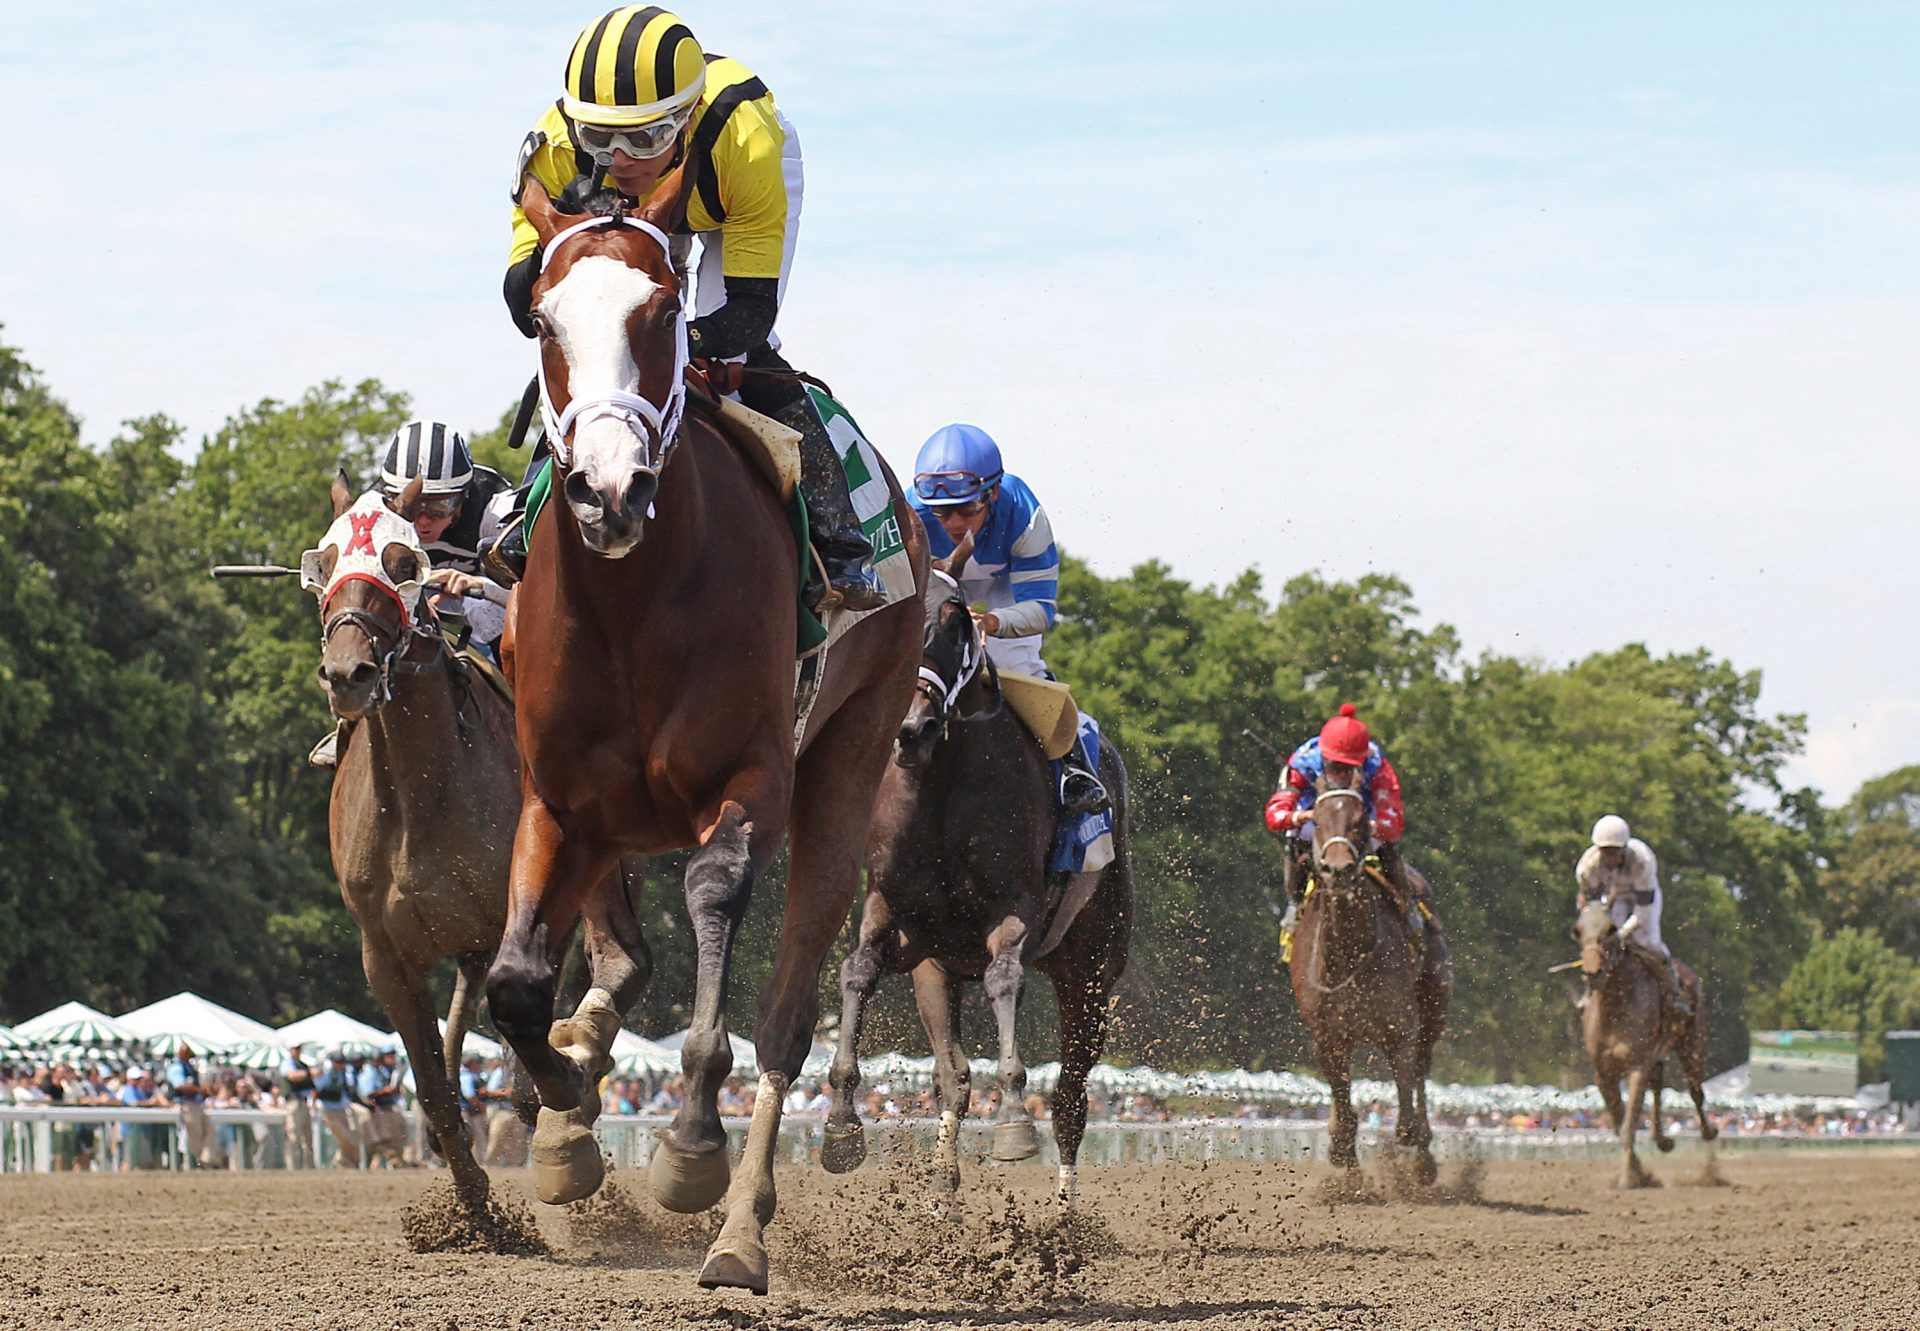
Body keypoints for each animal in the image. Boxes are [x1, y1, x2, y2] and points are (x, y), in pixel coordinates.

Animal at [483, 166, 925, 1290]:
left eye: (663, 312)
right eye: (542, 318)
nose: (610, 489)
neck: (634, 600)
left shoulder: (752, 776)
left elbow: (717, 901)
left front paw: (687, 1141)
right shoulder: (558, 798)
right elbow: (515, 983)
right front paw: (562, 1103)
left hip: (848, 767)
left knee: (787, 1016)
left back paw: (739, 1232)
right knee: (614, 965)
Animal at [821, 568, 1121, 1206]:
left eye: (957, 628)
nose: (912, 730)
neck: (942, 783)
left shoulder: (1014, 911)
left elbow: (1004, 978)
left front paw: (1011, 1117)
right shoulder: (895, 915)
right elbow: (857, 970)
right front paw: (840, 1124)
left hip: (1091, 968)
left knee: (1071, 1097)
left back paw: (1067, 1212)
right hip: (938, 971)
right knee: (951, 1077)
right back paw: (945, 1192)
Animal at [1290, 768, 1451, 1183]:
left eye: (1360, 821)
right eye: (1317, 820)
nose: (1338, 869)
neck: (1349, 954)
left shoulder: (1399, 1031)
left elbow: (1407, 1114)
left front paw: (1414, 1159)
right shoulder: (1328, 1039)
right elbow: (1345, 1114)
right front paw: (1345, 1168)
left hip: (1434, 1007)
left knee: (1422, 1068)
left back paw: (1424, 1157)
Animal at [1574, 891, 1712, 1183]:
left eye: (1610, 929)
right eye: (1577, 931)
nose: (1592, 971)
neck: (1616, 1006)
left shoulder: (1637, 1064)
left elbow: (1628, 1125)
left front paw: (1630, 1177)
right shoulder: (1603, 1073)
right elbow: (1619, 1122)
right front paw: (1637, 1170)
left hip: (1691, 1042)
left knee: (1695, 1090)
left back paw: (1708, 1132)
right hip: (1658, 1055)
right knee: (1658, 1086)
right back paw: (1662, 1139)